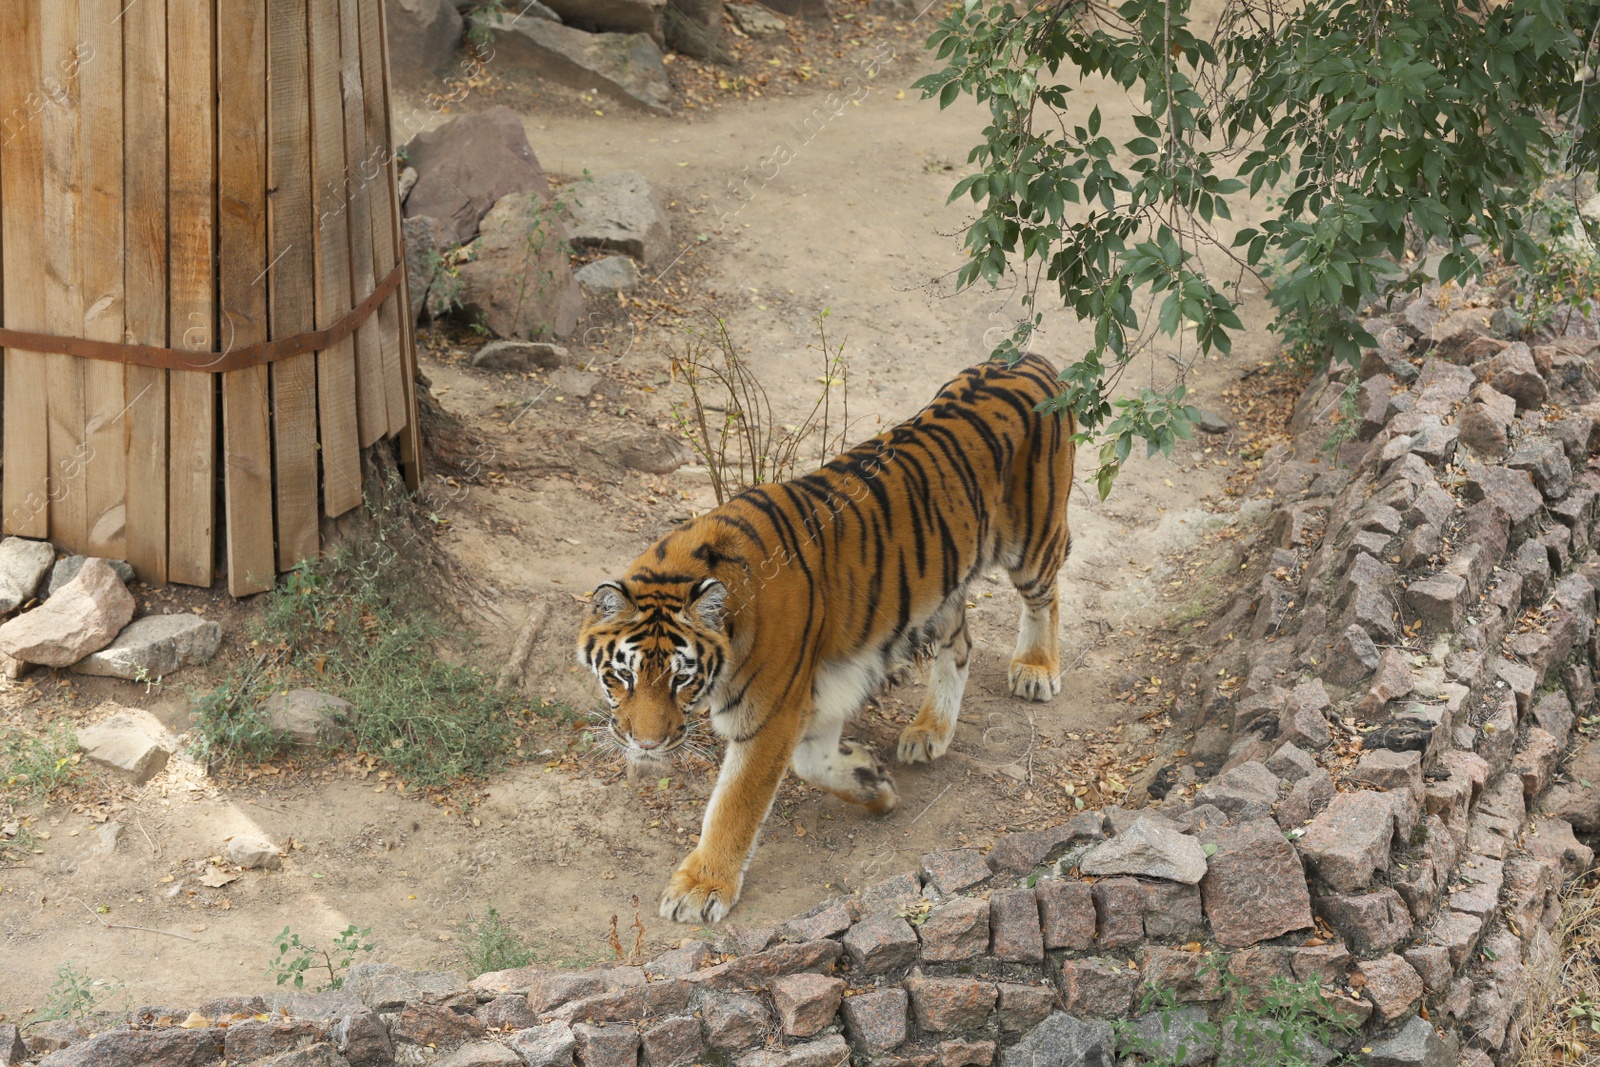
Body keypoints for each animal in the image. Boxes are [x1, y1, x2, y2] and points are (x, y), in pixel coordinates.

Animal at [576, 355, 1075, 921]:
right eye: (622, 676)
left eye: (681, 680)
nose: (646, 744)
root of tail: (1030, 359)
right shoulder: (819, 689)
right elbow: (812, 762)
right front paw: (872, 782)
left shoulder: (770, 713)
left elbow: (735, 804)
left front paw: (701, 888)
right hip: (942, 582)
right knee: (960, 645)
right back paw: (929, 730)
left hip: (1032, 541)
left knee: (1045, 595)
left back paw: (1035, 668)